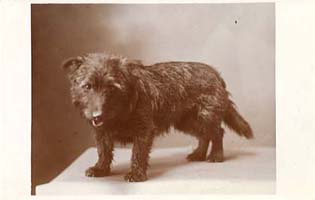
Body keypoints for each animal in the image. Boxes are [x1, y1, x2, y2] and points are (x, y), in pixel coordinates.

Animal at [62, 52, 254, 182]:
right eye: (87, 86)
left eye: (111, 88)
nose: (97, 115)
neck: (121, 110)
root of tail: (216, 75)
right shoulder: (102, 132)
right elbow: (103, 151)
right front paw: (100, 169)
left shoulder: (144, 131)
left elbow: (138, 153)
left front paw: (136, 174)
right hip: (187, 121)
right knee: (204, 135)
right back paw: (198, 154)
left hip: (205, 115)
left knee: (217, 132)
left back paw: (216, 156)